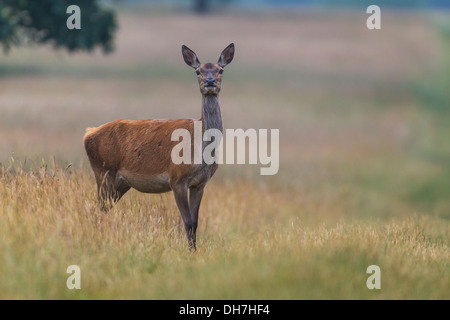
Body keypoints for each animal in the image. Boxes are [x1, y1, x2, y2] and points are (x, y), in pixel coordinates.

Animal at [83, 43, 236, 251]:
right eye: (198, 71)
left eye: (221, 69)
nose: (210, 81)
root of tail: (88, 134)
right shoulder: (177, 178)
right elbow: (187, 221)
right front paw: (190, 252)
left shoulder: (200, 183)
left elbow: (195, 222)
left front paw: (195, 251)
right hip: (103, 171)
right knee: (96, 208)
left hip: (120, 183)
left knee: (102, 209)